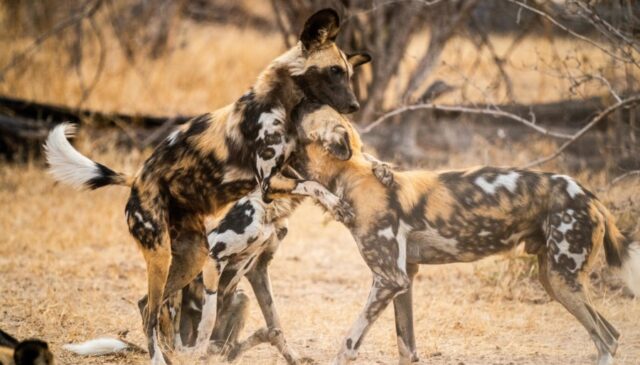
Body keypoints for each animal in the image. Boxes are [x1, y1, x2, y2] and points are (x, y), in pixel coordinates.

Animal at [43, 7, 370, 362]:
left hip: (192, 256)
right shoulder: (268, 182)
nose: (354, 106)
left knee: (152, 305)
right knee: (150, 311)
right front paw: (340, 205)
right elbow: (314, 185)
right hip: (163, 254)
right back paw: (163, 357)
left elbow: (275, 324)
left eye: (348, 73)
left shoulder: (262, 246)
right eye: (334, 72)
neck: (281, 102)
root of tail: (136, 179)